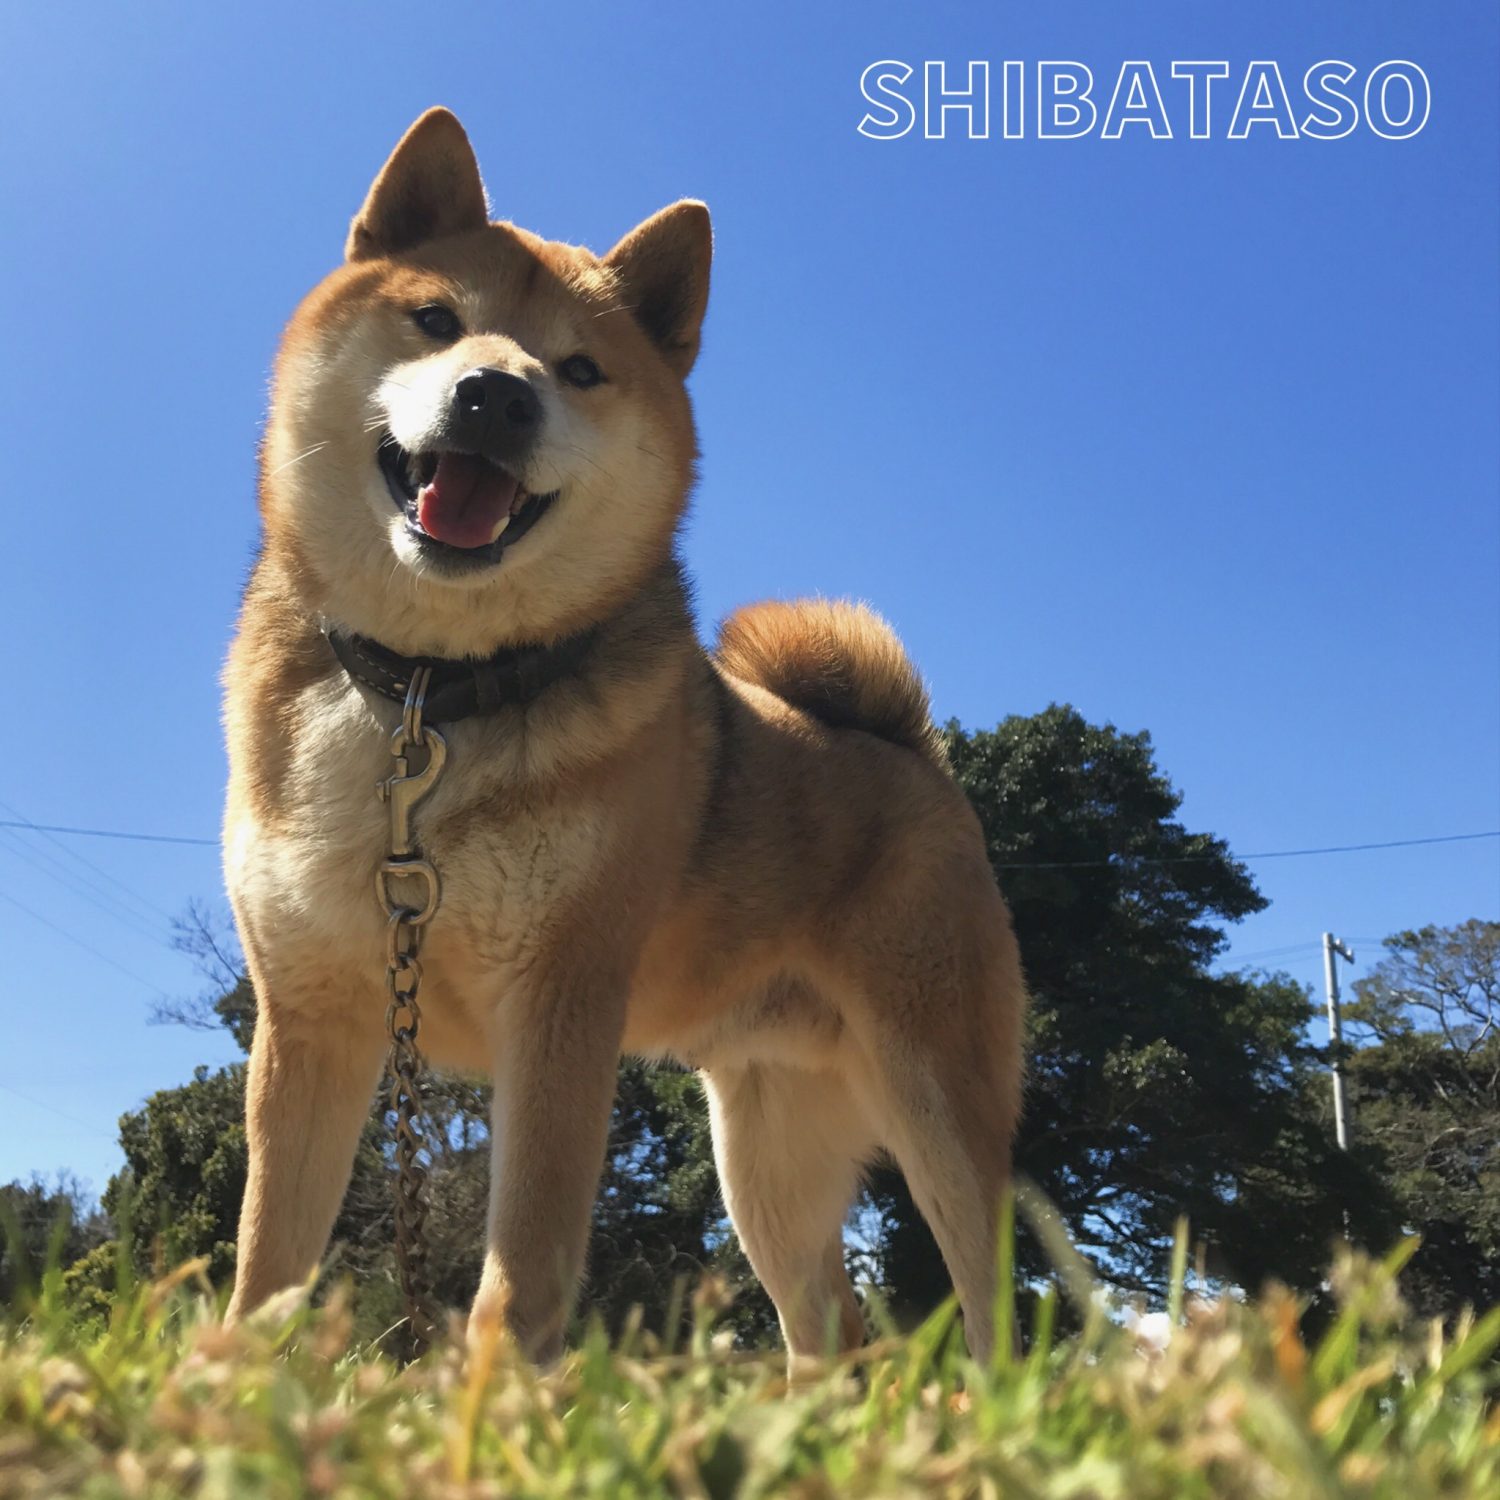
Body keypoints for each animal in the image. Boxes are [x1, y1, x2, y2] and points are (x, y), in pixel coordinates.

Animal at [222, 111, 1026, 1368]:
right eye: (437, 319)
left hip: (937, 1101)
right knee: (831, 1327)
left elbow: (522, 1269)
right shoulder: (312, 1020)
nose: (496, 396)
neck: (428, 695)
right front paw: (224, 1386)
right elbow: (266, 1263)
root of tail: (911, 756)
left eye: (582, 370)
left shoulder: (560, 1009)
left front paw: (495, 1400)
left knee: (995, 1310)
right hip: (769, 1154)